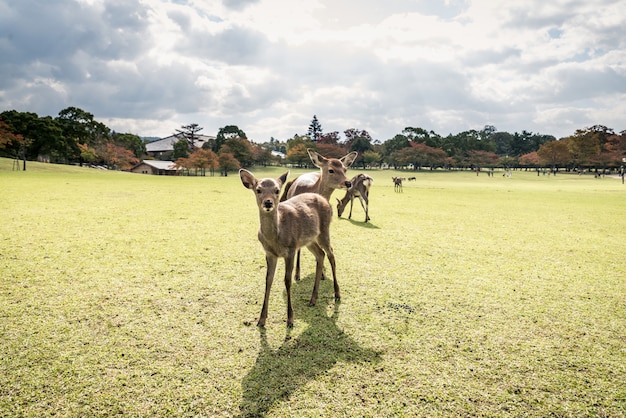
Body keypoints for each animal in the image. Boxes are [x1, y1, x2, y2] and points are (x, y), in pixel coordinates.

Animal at [239, 168, 338, 328]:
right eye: (258, 190)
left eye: (277, 190)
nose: (268, 202)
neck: (275, 239)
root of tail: (325, 199)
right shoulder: (269, 253)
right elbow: (268, 279)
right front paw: (261, 320)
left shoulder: (290, 250)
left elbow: (287, 280)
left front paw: (290, 320)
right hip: (309, 240)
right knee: (320, 254)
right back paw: (313, 299)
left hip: (324, 230)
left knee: (331, 255)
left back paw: (337, 294)